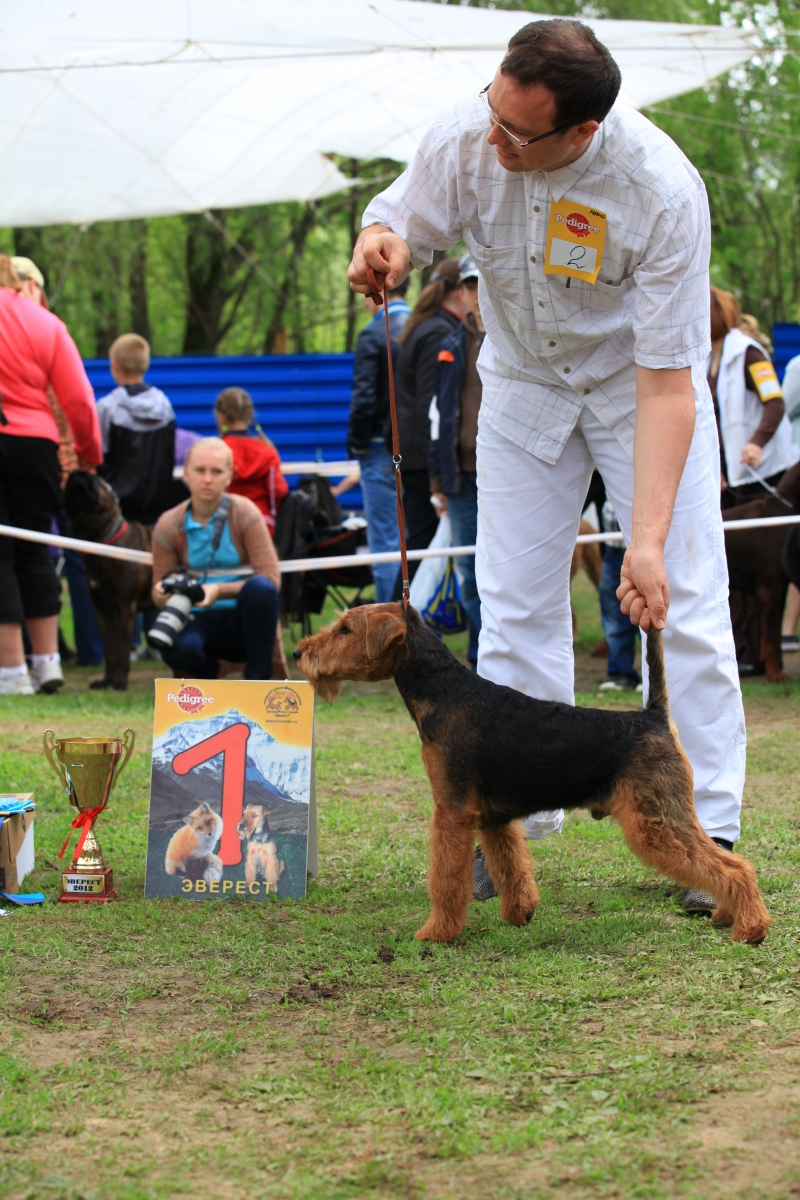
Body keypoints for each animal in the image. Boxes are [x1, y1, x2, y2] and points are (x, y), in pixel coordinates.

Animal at [293, 604, 767, 950]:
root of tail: (654, 718)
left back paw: (750, 929)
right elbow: (511, 866)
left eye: (345, 630)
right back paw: (728, 915)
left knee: (734, 866)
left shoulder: (452, 811)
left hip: (657, 821)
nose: (299, 652)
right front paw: (519, 914)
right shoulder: (494, 818)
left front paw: (436, 932)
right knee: (730, 864)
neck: (443, 692)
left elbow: (446, 879)